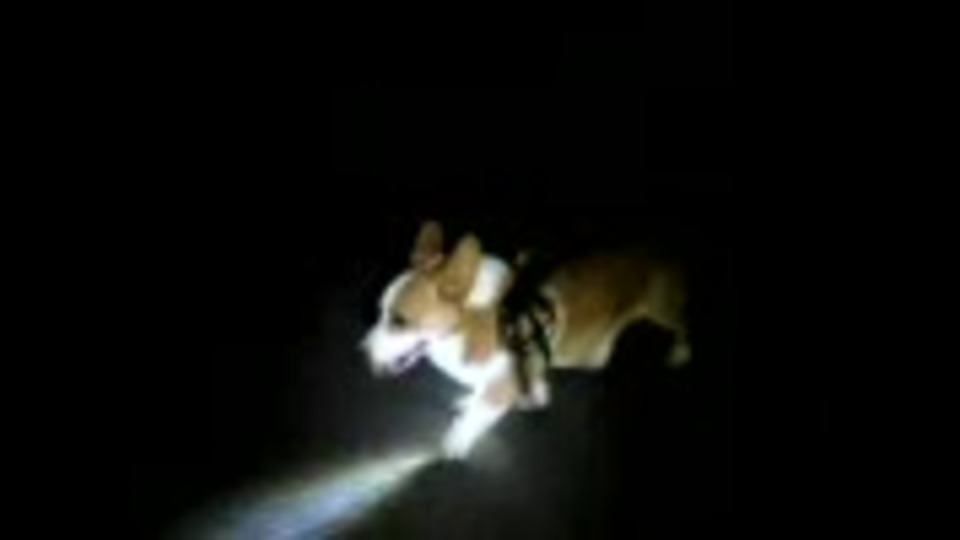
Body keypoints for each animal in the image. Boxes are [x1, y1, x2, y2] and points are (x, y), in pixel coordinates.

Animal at [360, 220, 691, 459]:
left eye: (400, 321)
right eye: (379, 311)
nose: (360, 352)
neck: (471, 322)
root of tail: (663, 250)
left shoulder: (507, 381)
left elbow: (480, 412)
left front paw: (457, 439)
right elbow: (486, 395)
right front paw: (472, 400)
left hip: (663, 311)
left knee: (683, 326)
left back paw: (681, 352)